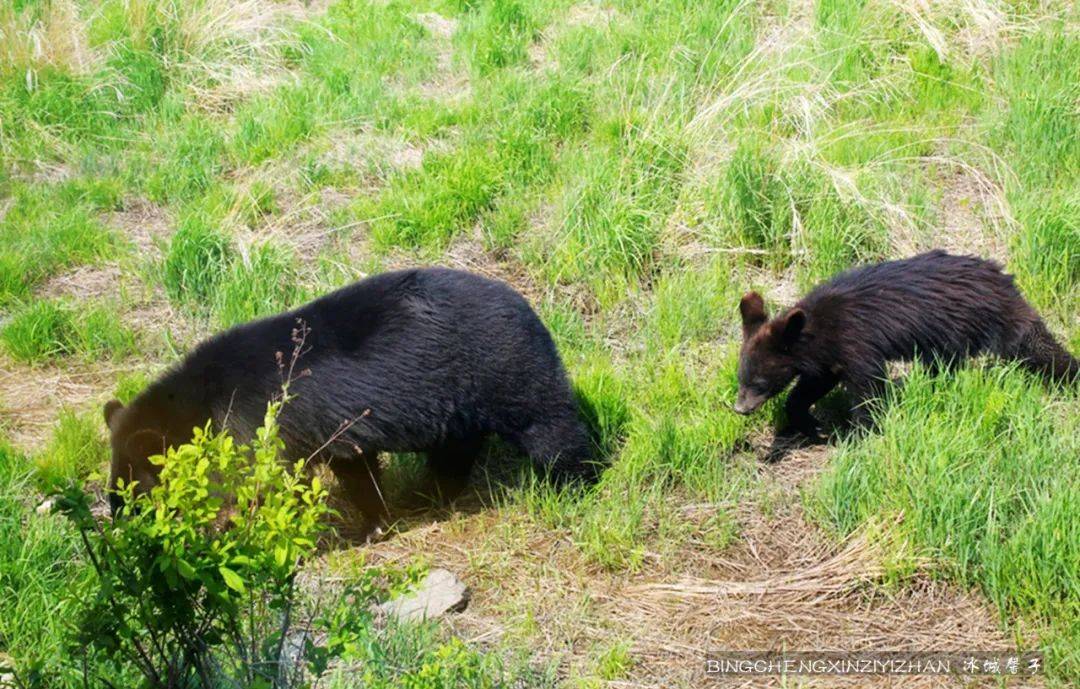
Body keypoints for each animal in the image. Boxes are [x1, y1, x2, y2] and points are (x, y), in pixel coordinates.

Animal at [103, 267, 591, 531]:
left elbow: (272, 482)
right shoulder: (331, 428)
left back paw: (575, 481)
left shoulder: (264, 423)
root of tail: (528, 306)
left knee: (549, 425)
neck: (204, 401)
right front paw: (377, 522)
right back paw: (432, 492)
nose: (120, 521)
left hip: (506, 370)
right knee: (456, 448)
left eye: (133, 493)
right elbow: (354, 467)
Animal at [730, 250, 1075, 440]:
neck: (816, 330)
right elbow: (811, 386)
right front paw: (812, 425)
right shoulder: (828, 359)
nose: (740, 409)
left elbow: (869, 389)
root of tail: (1005, 279)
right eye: (741, 378)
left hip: (989, 322)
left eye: (759, 382)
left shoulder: (858, 342)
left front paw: (859, 434)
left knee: (1035, 346)